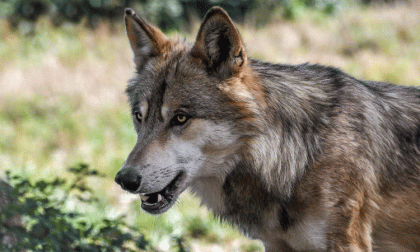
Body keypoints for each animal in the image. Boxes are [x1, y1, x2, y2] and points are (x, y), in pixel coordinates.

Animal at [114, 6, 420, 251]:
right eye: (139, 117)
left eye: (180, 118)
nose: (125, 179)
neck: (300, 156)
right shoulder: (275, 245)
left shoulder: (347, 243)